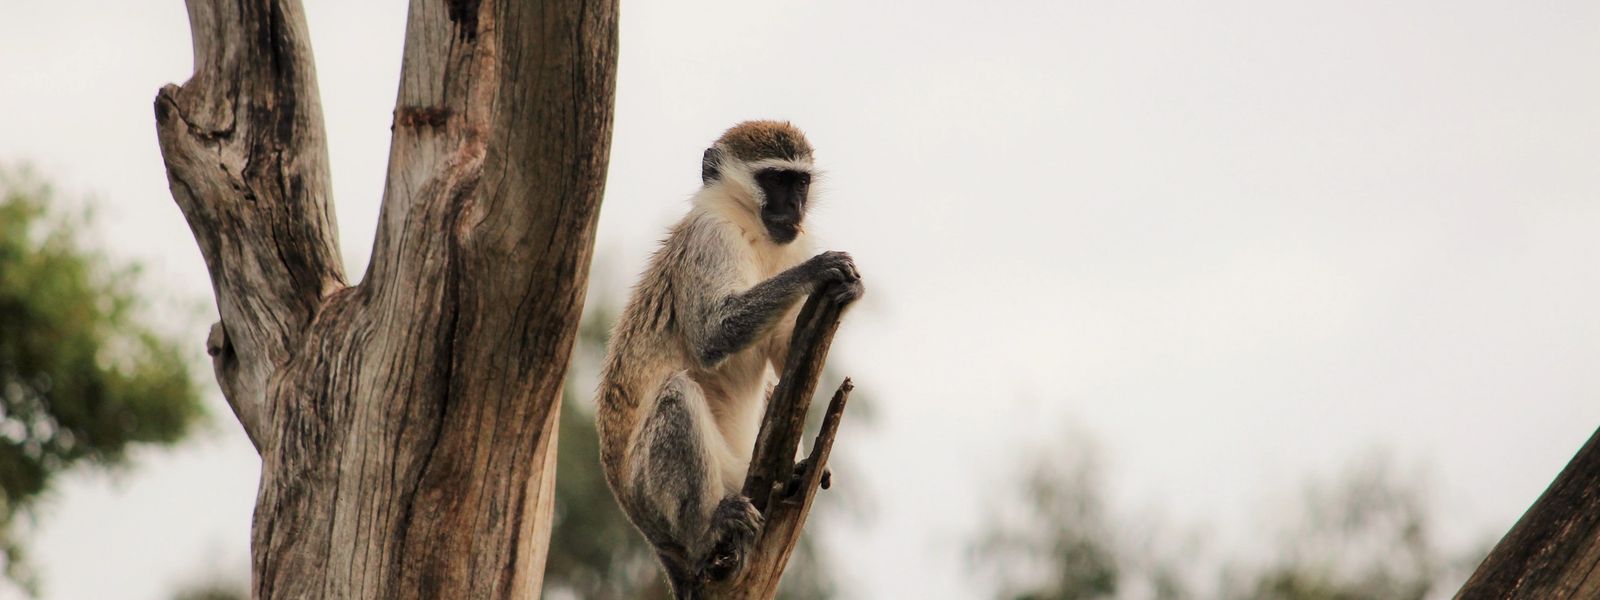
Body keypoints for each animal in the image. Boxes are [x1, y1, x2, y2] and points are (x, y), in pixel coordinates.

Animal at [594, 121, 863, 598]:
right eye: (774, 180)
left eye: (801, 182)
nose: (794, 208)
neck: (752, 230)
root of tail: (652, 538)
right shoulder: (710, 236)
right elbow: (711, 333)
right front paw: (816, 270)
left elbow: (786, 352)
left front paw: (848, 292)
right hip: (653, 499)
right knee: (677, 396)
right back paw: (709, 526)